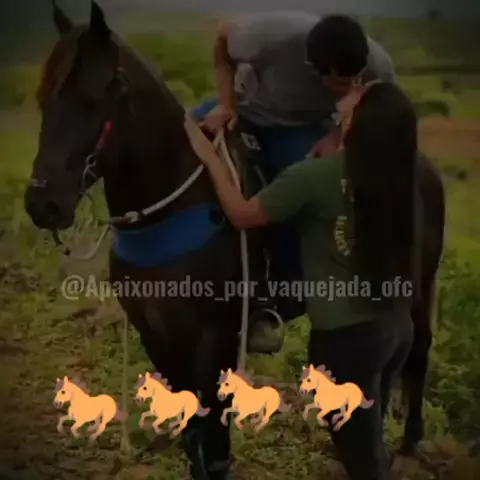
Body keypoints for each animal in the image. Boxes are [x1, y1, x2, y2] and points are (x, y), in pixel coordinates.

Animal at [23, 1, 444, 474]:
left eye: (91, 100)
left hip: (418, 286)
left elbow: (215, 441)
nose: (43, 204)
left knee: (418, 352)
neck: (170, 204)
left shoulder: (216, 340)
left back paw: (410, 440)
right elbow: (191, 433)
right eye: (43, 98)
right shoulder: (157, 337)